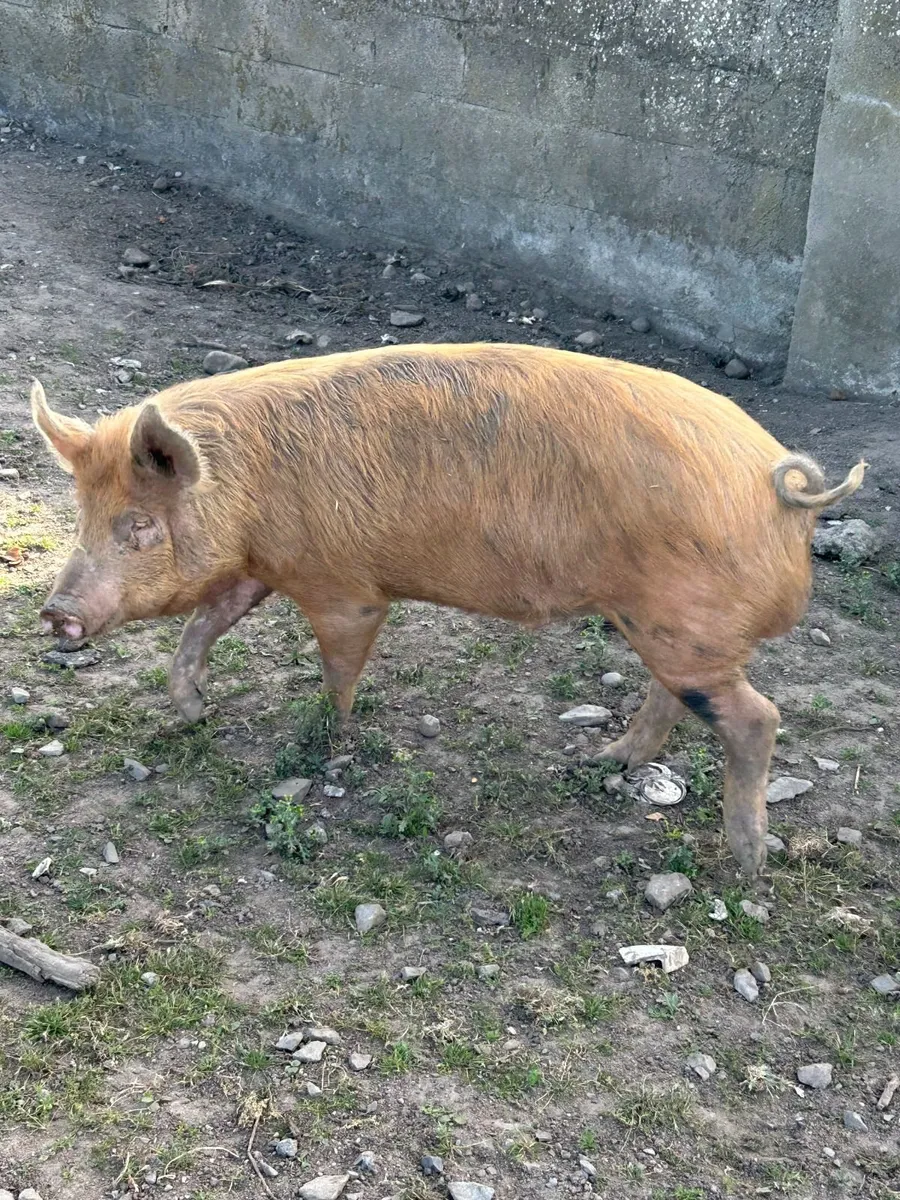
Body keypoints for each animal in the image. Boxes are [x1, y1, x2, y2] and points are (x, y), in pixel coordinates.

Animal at [31, 343, 865, 880]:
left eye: (139, 524)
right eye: (82, 514)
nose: (55, 612)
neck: (245, 490)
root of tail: (780, 487)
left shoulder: (345, 588)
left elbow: (337, 666)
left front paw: (324, 742)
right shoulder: (258, 568)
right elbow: (205, 622)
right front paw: (190, 712)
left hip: (682, 624)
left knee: (757, 717)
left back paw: (746, 866)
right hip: (664, 626)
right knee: (681, 697)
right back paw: (604, 762)